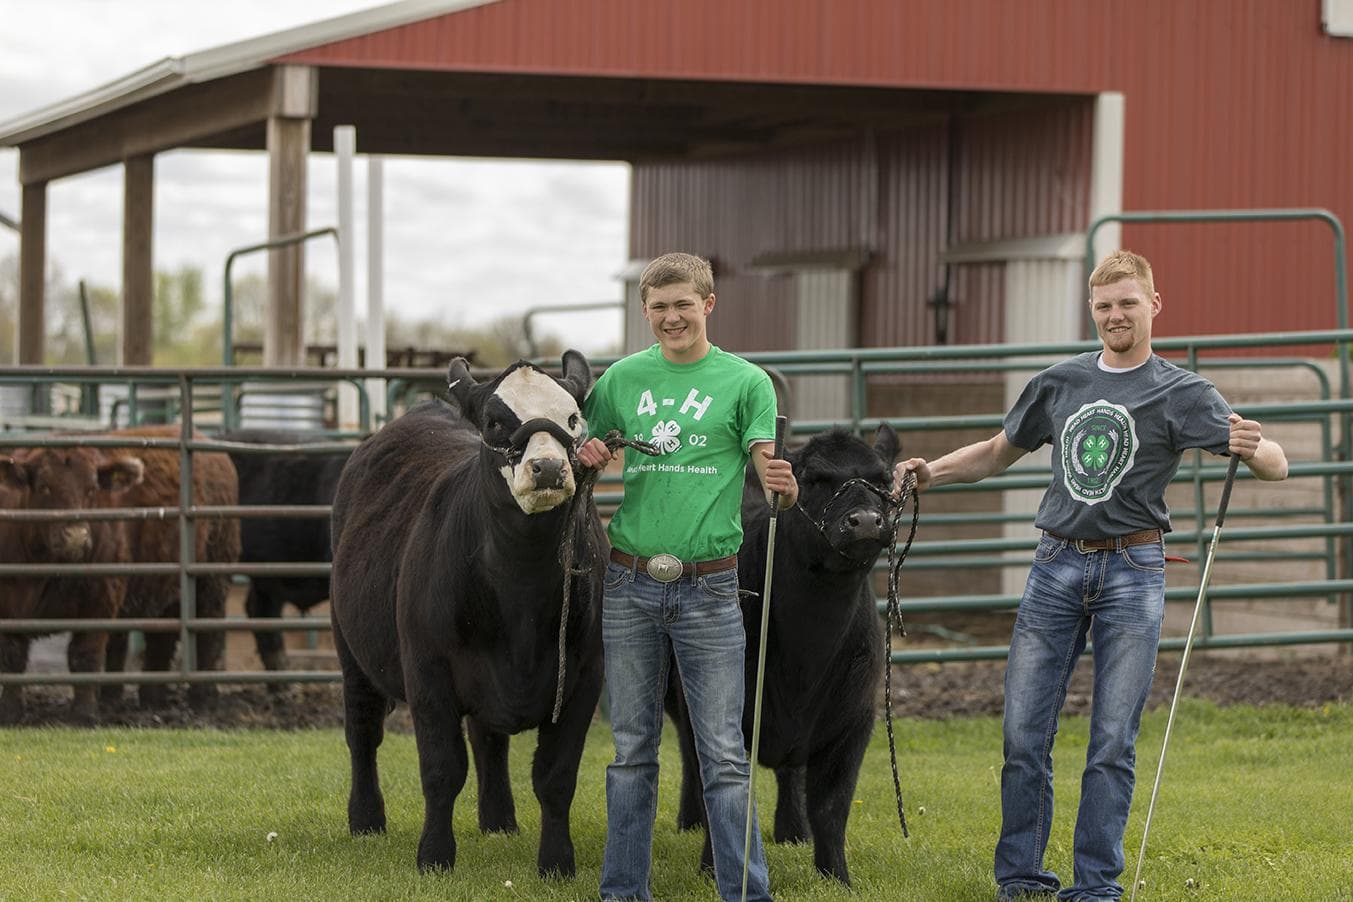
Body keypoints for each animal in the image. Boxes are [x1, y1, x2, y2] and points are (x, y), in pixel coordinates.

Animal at [0, 448, 144, 724]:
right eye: (44, 487)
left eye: (91, 488)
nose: (76, 536)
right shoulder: (7, 604)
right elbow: (12, 655)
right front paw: (10, 712)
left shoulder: (101, 599)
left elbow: (85, 654)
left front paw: (84, 713)